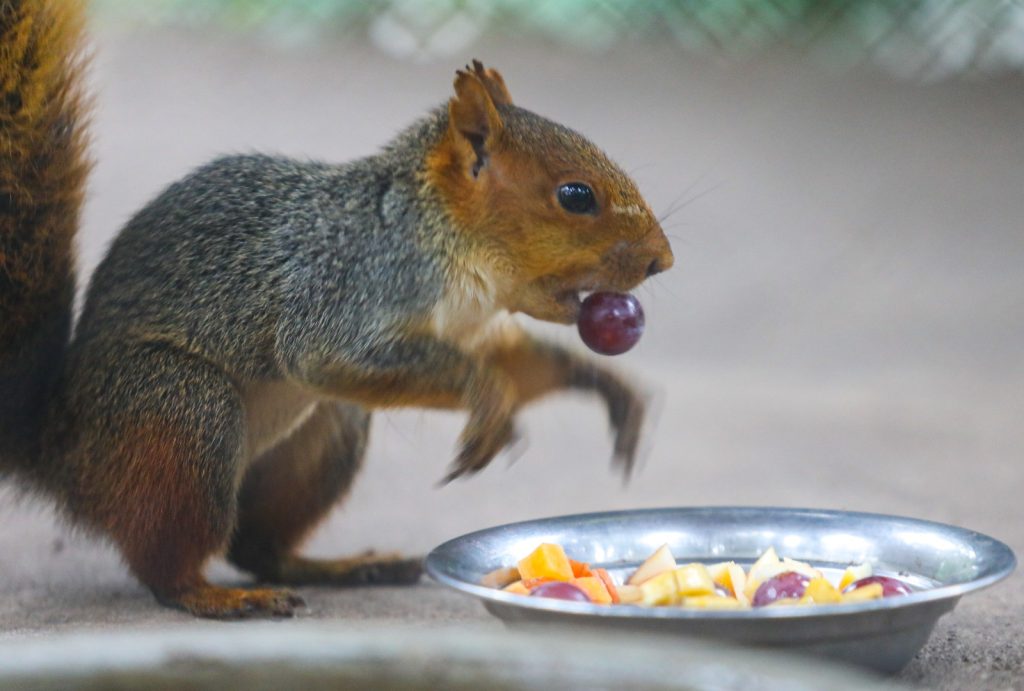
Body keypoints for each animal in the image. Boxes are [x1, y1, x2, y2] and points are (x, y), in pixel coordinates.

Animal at [1, 0, 674, 619]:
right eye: (575, 196)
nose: (660, 261)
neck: (447, 238)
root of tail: (56, 443)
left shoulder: (469, 329)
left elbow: (517, 364)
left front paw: (602, 386)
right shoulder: (348, 288)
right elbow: (332, 355)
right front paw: (488, 405)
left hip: (325, 426)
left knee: (257, 546)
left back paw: (341, 568)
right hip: (177, 412)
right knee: (166, 566)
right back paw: (216, 596)